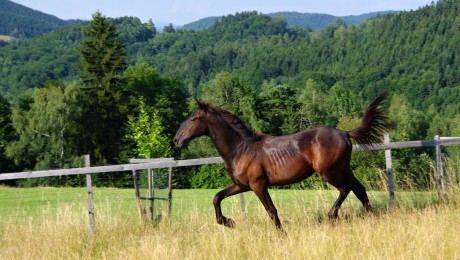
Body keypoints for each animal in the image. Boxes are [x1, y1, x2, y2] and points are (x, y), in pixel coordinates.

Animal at [172, 92, 388, 231]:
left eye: (193, 119)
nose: (176, 140)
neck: (240, 149)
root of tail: (344, 133)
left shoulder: (258, 185)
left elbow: (271, 210)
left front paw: (281, 235)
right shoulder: (241, 185)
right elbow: (217, 197)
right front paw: (229, 222)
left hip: (329, 172)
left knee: (346, 189)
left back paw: (331, 215)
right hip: (343, 169)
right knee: (359, 190)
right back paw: (372, 220)